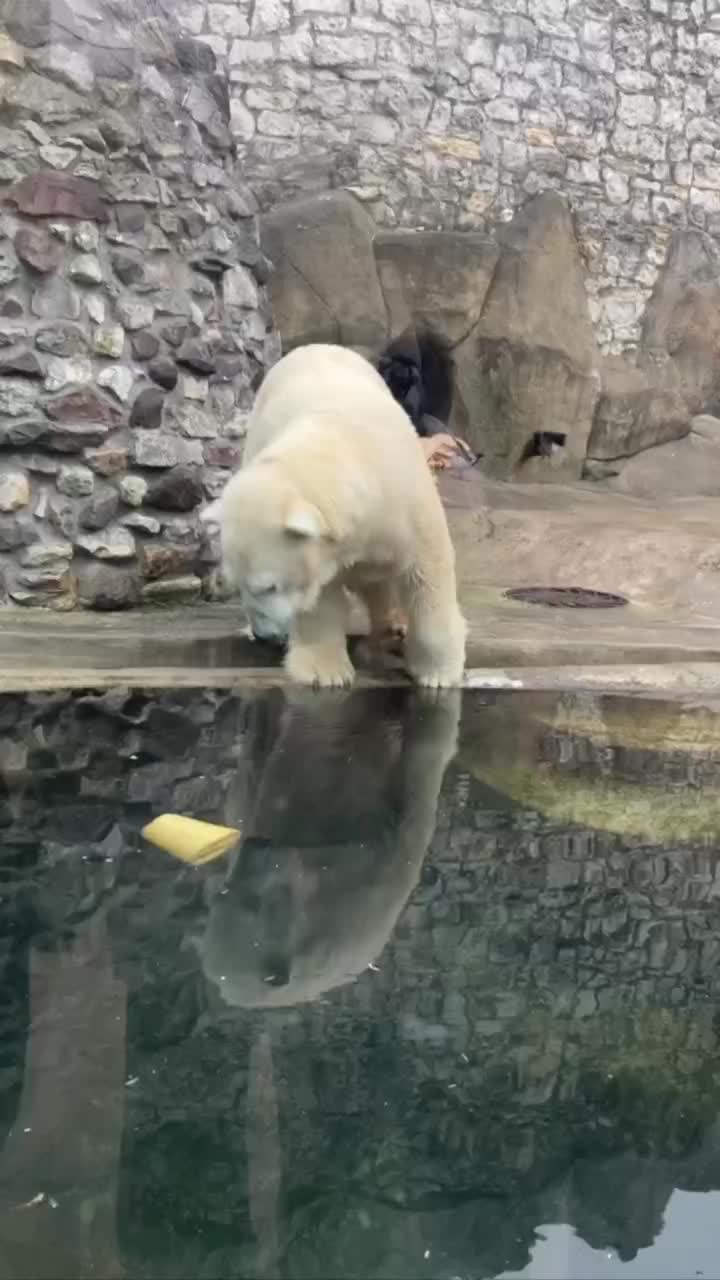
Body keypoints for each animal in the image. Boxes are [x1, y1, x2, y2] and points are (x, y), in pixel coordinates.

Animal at [207, 337, 466, 680]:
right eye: (239, 585)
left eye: (269, 586)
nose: (265, 636)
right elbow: (319, 599)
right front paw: (324, 671)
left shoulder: (406, 502)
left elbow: (427, 571)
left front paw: (437, 673)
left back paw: (395, 623)